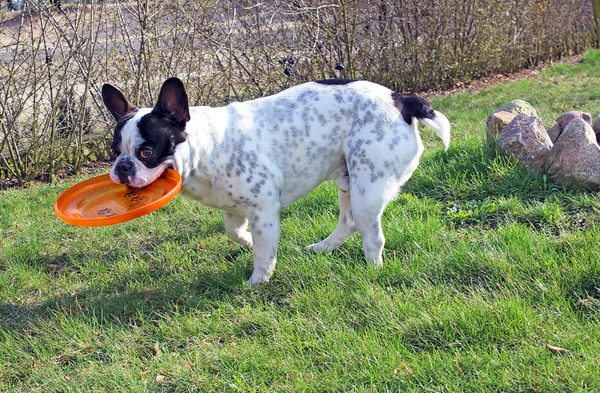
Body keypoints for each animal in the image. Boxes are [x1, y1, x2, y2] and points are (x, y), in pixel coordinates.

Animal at [102, 76, 450, 284]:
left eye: (147, 152)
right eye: (114, 150)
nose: (122, 167)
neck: (206, 146)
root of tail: (401, 100)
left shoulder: (264, 211)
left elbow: (264, 251)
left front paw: (259, 279)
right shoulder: (234, 207)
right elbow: (233, 231)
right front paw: (246, 241)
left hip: (368, 187)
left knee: (372, 235)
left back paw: (373, 269)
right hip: (348, 182)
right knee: (348, 222)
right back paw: (322, 248)